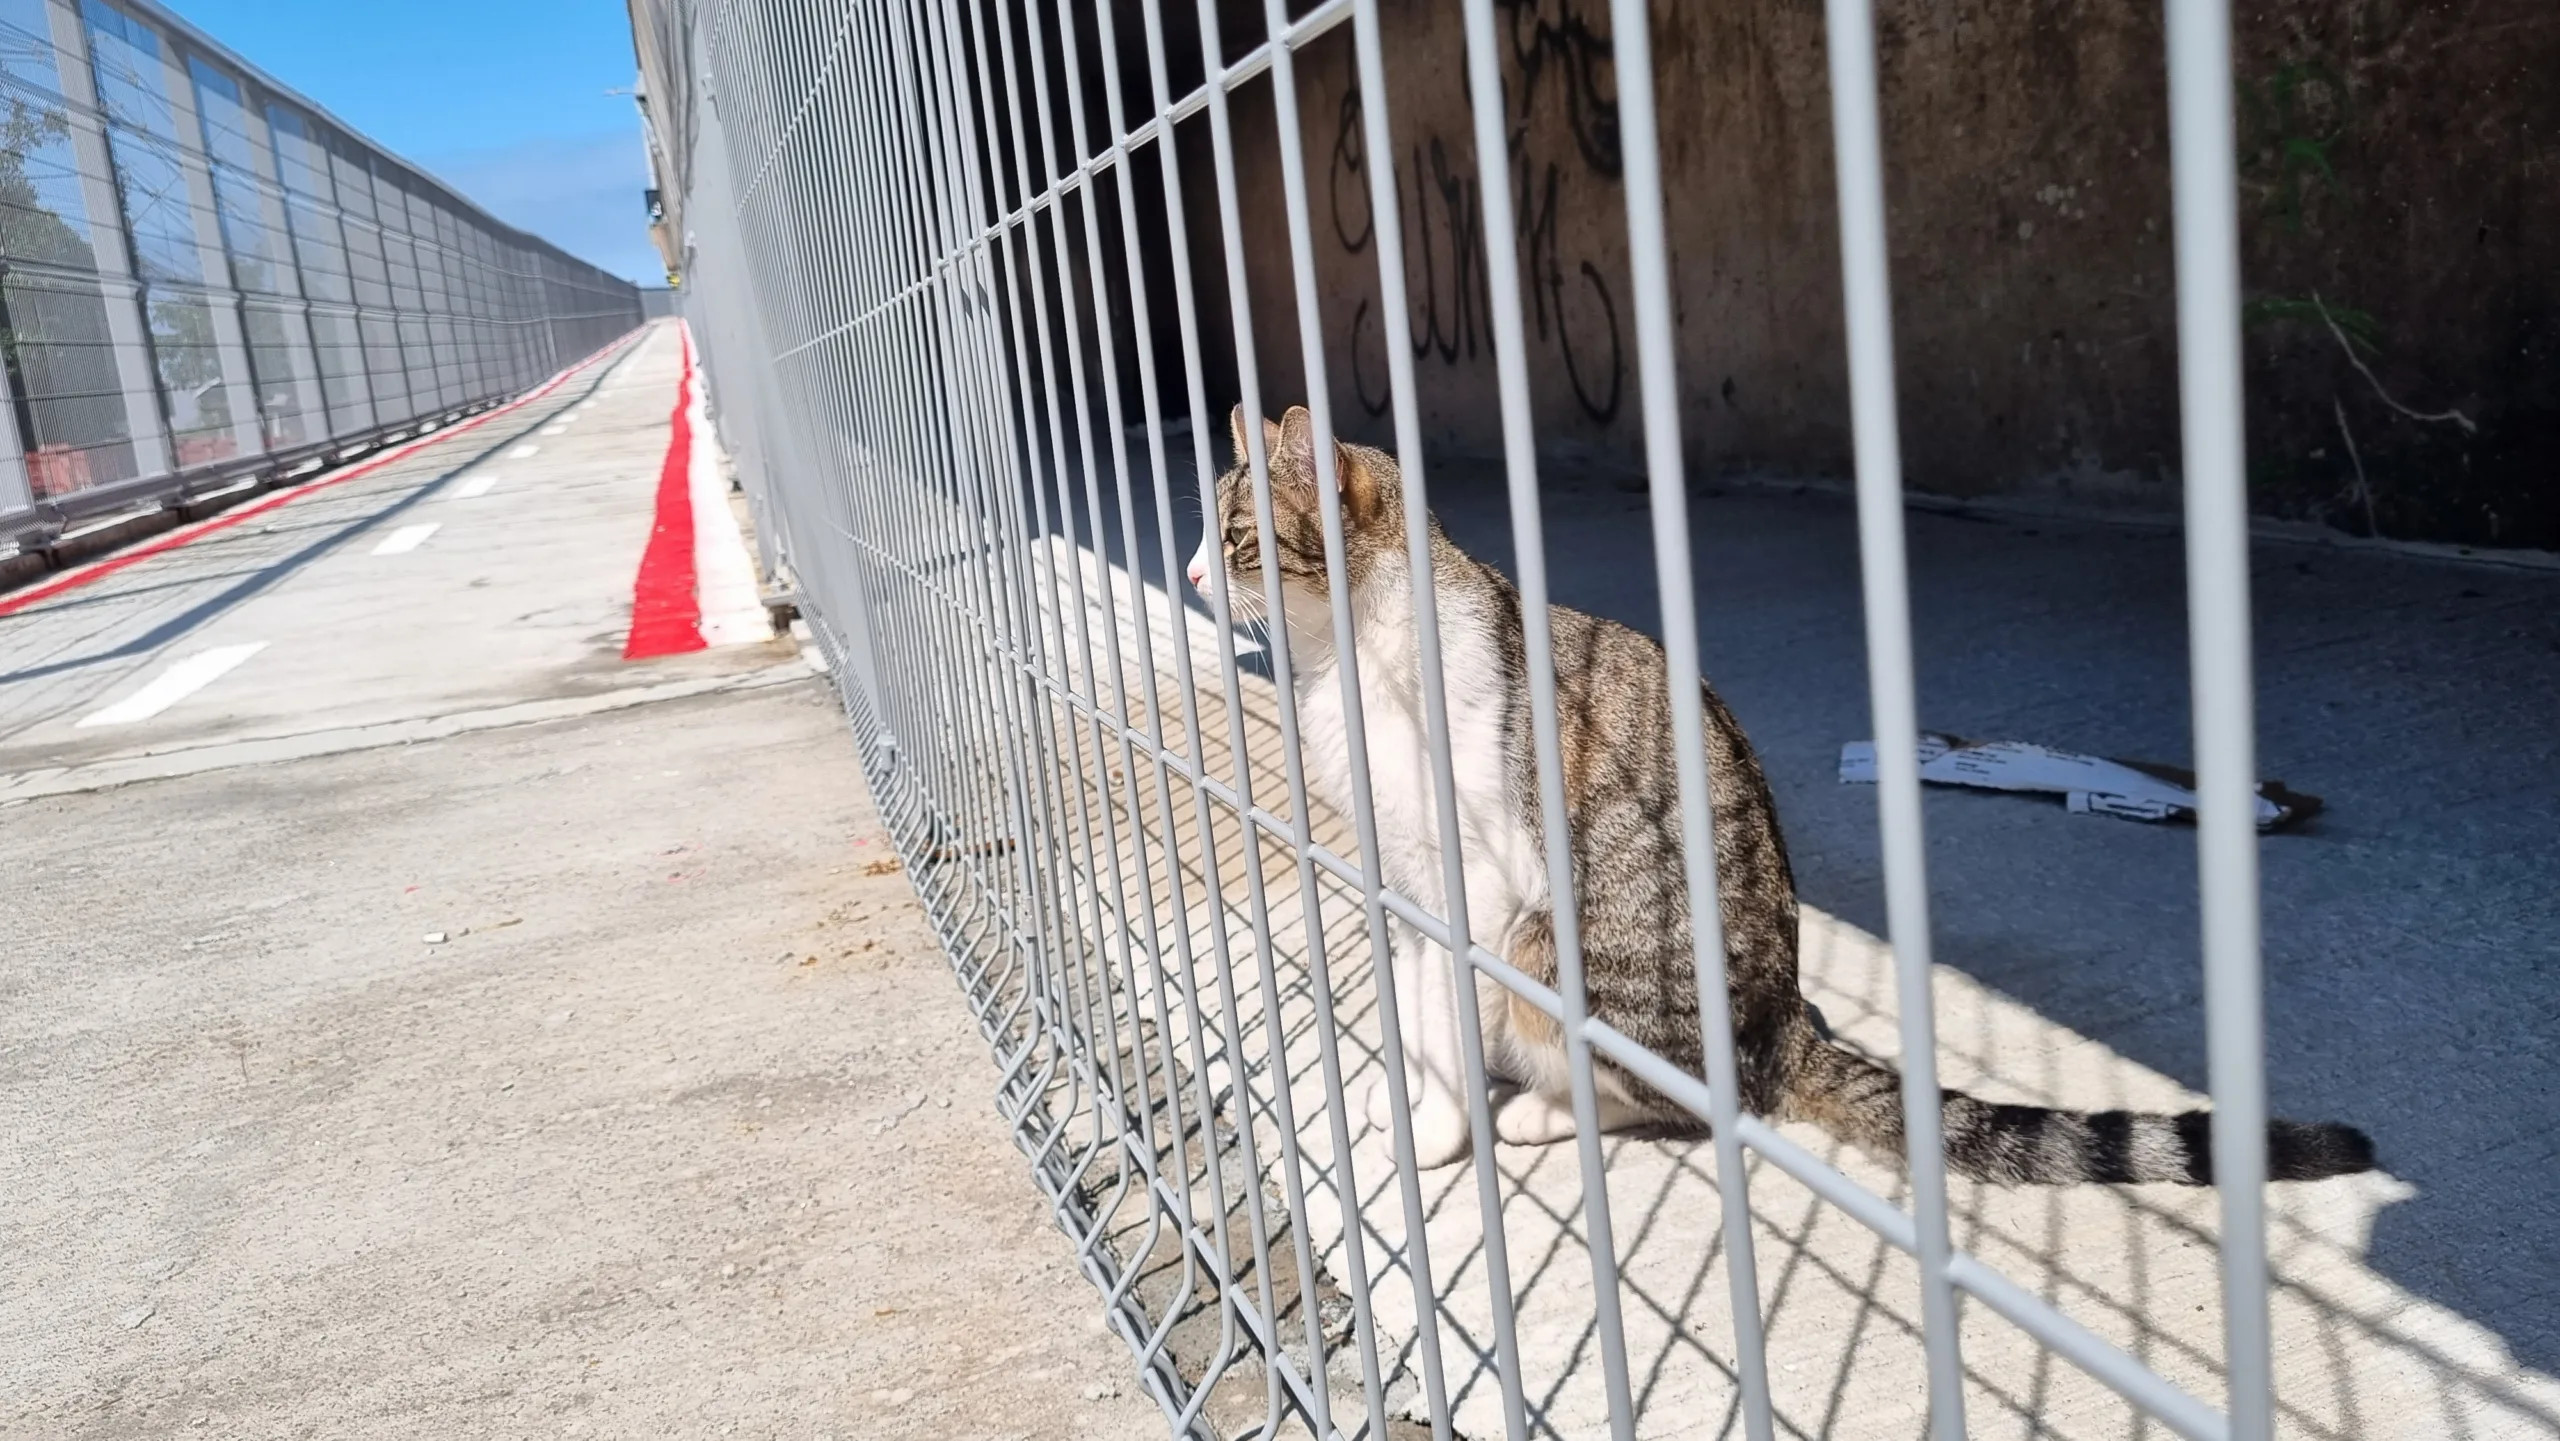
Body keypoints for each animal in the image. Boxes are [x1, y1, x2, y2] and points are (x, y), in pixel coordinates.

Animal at [1182, 404, 2375, 1182]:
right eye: (1206, 534)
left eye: (1236, 539)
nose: (1188, 574)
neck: (1347, 665)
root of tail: (1780, 1026)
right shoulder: (1409, 880)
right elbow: (1421, 1001)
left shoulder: (1476, 883)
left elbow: (1449, 1014)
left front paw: (1437, 1131)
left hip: (1553, 944)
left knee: (1687, 1097)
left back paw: (1546, 1113)